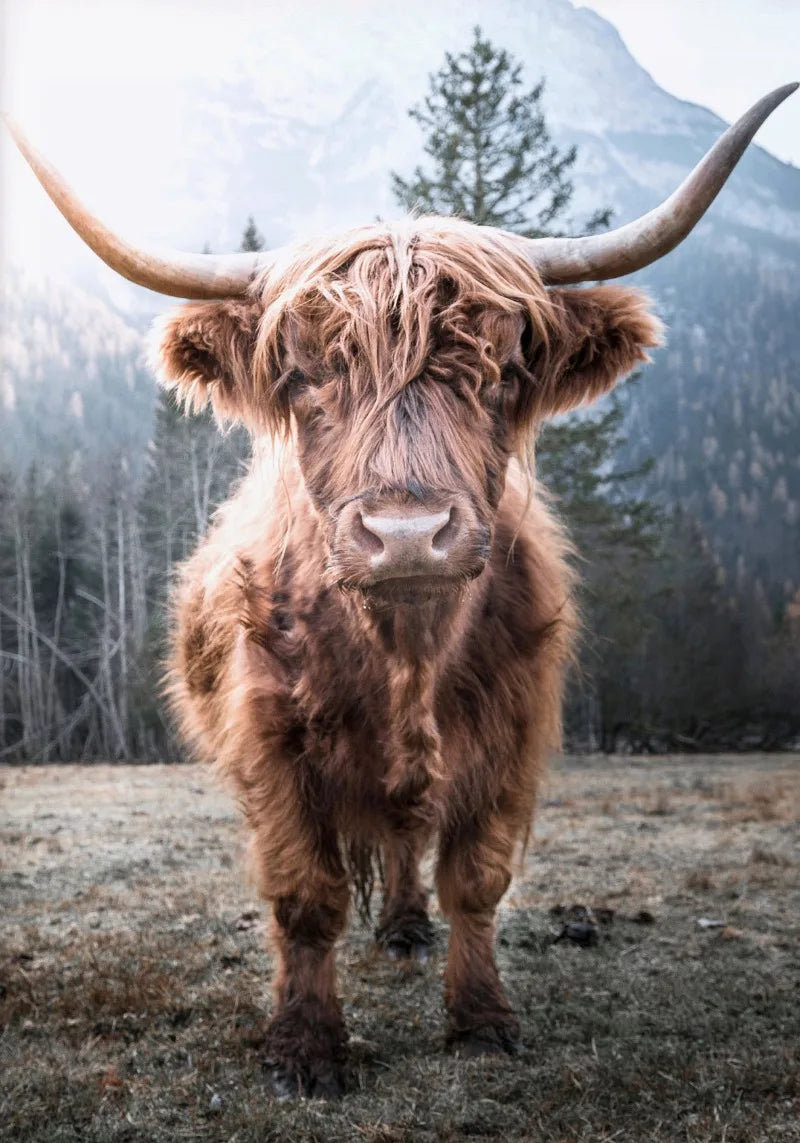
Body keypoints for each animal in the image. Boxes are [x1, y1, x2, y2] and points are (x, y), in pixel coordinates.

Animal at [4, 83, 794, 1098]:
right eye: (302, 375)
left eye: (502, 371)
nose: (408, 534)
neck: (406, 653)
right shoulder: (272, 742)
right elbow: (306, 895)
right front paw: (305, 1046)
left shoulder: (511, 733)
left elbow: (477, 879)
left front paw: (483, 1019)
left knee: (408, 838)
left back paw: (409, 928)